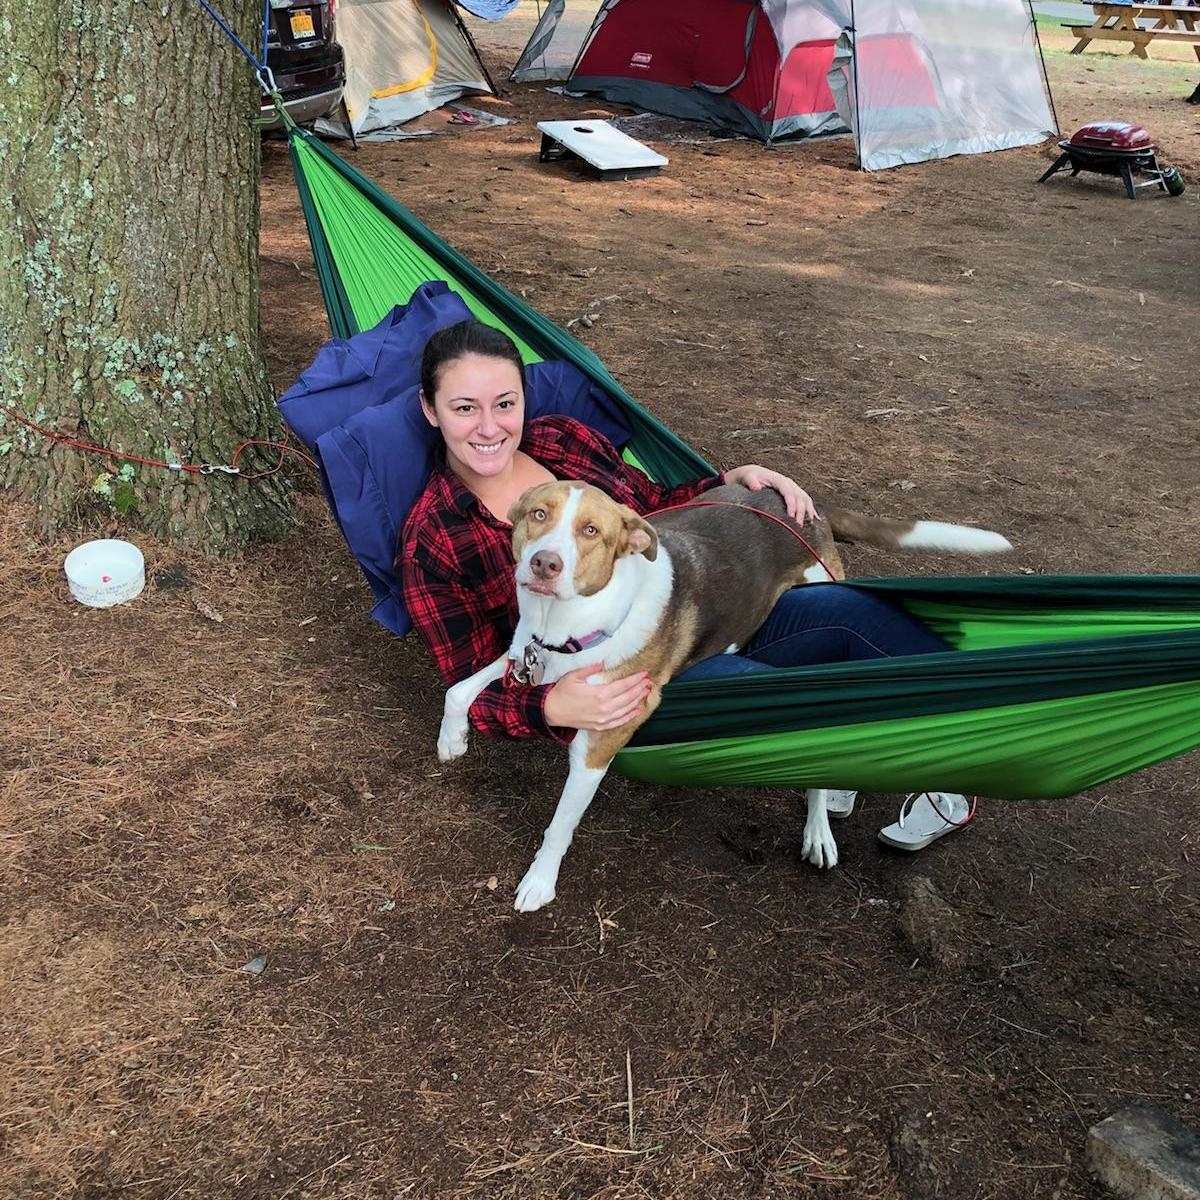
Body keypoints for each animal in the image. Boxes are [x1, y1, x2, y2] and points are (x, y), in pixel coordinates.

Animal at [437, 481, 1010, 912]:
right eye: (538, 514)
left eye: (591, 531)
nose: (544, 564)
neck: (568, 626)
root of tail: (808, 509)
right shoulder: (523, 652)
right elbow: (459, 688)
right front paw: (453, 738)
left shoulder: (601, 740)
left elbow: (559, 825)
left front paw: (540, 881)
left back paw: (820, 827)